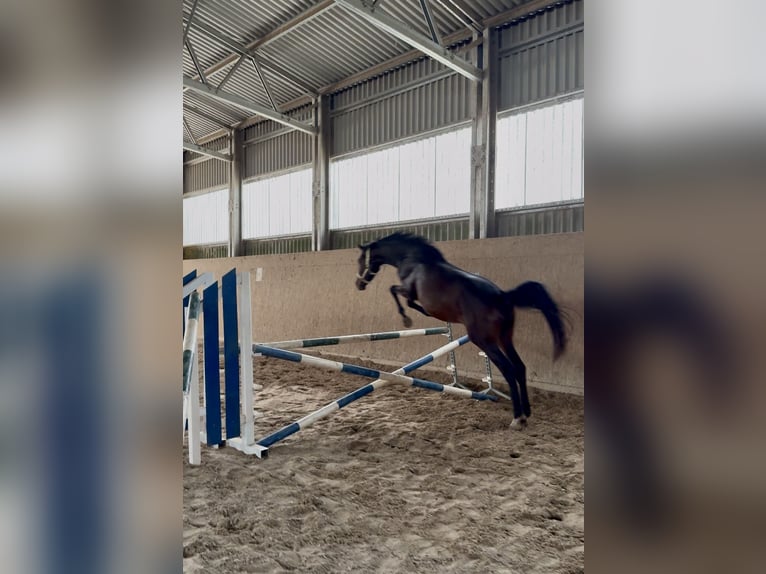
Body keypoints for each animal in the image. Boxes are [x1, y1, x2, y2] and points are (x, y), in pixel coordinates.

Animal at [355, 232, 566, 429]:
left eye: (359, 261)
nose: (359, 285)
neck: (412, 259)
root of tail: (502, 295)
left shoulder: (408, 290)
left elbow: (397, 293)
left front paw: (408, 319)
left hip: (483, 340)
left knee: (508, 369)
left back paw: (517, 418)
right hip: (505, 338)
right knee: (519, 367)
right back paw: (526, 413)